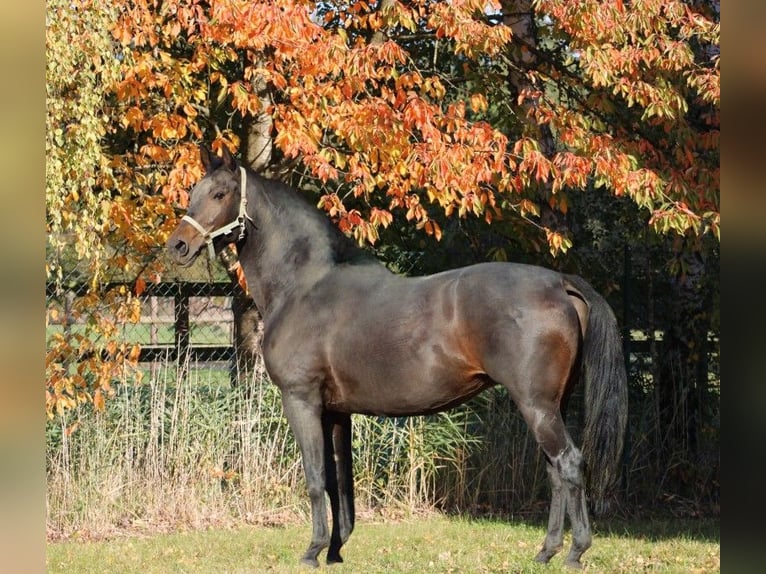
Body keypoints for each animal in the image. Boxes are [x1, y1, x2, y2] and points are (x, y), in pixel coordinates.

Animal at [168, 147, 632, 572]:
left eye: (220, 194)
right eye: (194, 192)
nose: (178, 245)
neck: (305, 286)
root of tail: (558, 283)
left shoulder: (301, 400)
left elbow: (316, 477)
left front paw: (313, 551)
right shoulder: (336, 411)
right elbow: (340, 481)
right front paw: (336, 550)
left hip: (536, 405)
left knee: (568, 463)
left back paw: (575, 552)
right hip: (551, 405)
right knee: (555, 470)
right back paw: (546, 551)